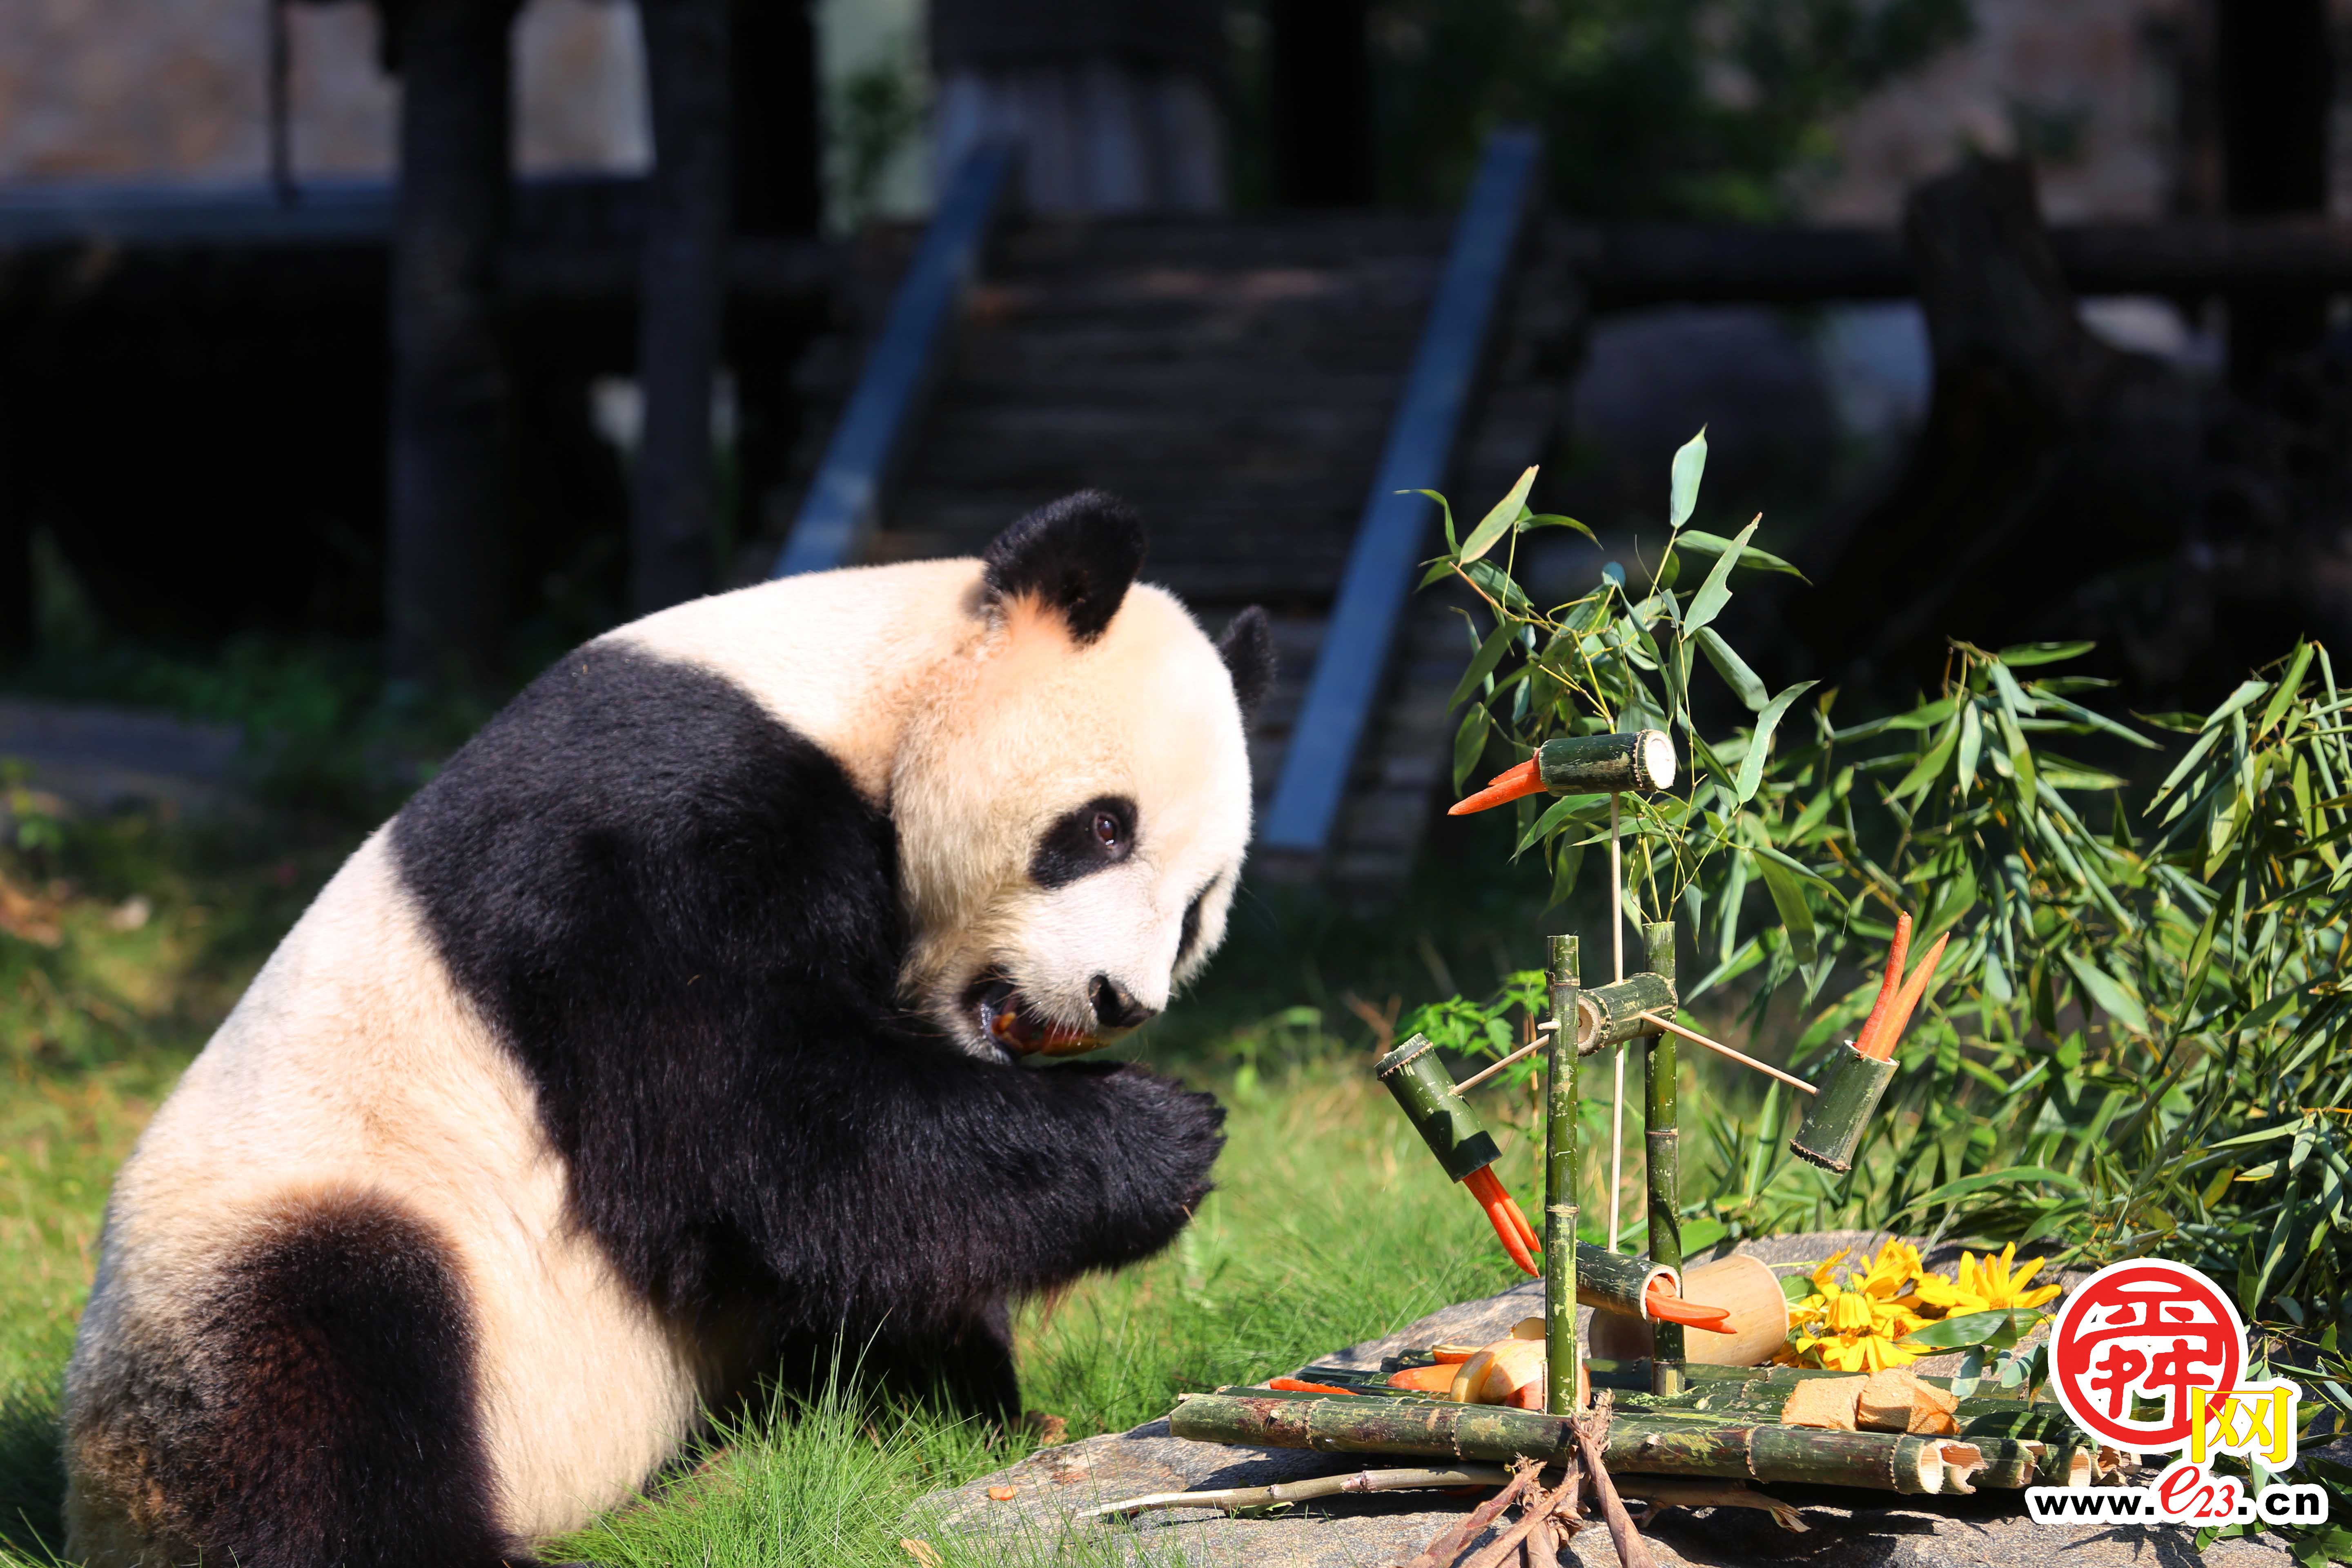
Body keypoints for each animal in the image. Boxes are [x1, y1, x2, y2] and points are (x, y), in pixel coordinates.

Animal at [55, 493, 1270, 1568]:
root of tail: (96, 1509)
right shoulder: (643, 830)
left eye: (1198, 909)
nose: (1120, 1001)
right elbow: (751, 1120)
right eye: (1102, 827)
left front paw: (968, 1419)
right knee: (325, 1368)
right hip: (282, 1225)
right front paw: (1161, 1131)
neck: (867, 693)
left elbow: (878, 1226)